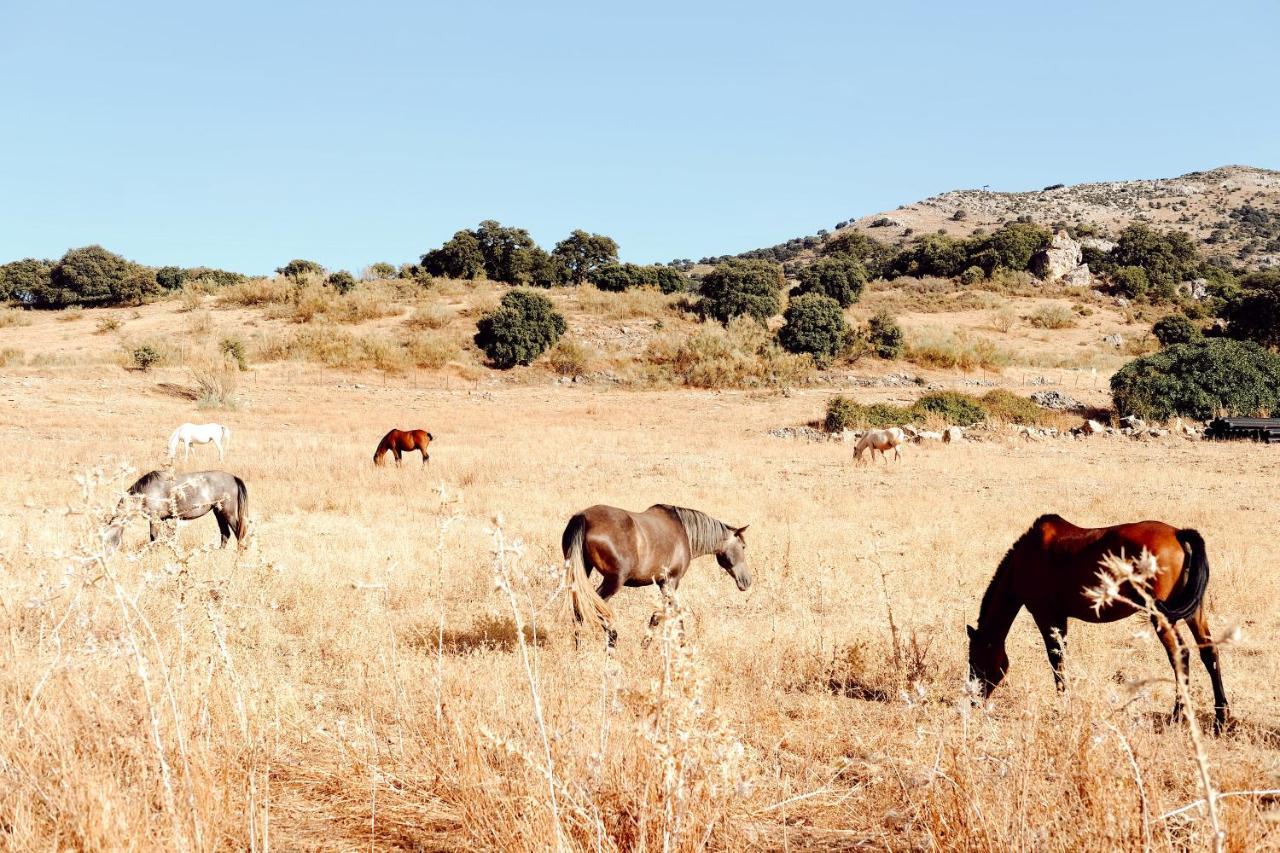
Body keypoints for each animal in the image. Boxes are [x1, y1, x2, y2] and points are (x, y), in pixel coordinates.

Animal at [103, 468, 249, 548]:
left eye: (105, 541)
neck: (145, 491)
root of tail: (233, 477)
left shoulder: (155, 518)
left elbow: (153, 537)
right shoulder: (166, 519)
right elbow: (168, 538)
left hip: (228, 513)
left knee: (239, 533)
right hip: (218, 512)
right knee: (225, 534)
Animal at [563, 499, 747, 645]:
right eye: (743, 547)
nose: (746, 581)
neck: (684, 531)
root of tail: (584, 517)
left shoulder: (662, 584)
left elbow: (662, 614)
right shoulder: (670, 582)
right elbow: (668, 615)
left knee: (578, 609)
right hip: (613, 581)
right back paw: (612, 641)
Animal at [967, 512, 1228, 732]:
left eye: (975, 661)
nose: (973, 701)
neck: (1024, 559)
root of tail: (1179, 534)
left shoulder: (1046, 616)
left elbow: (1056, 661)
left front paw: (1063, 706)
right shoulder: (1059, 619)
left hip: (1162, 616)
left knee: (1180, 655)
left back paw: (1177, 715)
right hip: (1194, 612)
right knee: (1209, 652)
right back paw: (1221, 718)